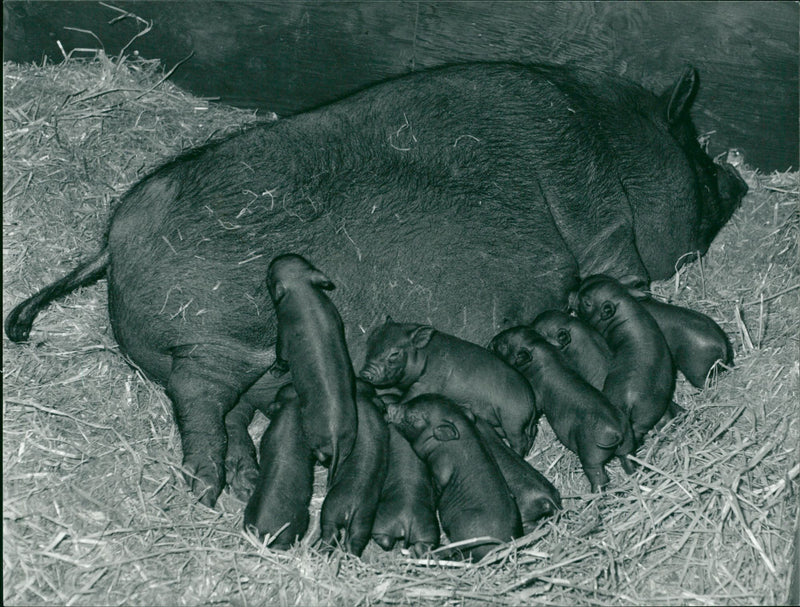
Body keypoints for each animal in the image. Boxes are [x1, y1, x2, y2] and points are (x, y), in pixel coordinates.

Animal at [359, 318, 538, 456]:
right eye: (369, 343)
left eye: (394, 354)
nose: (364, 373)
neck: (424, 357)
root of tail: (532, 404)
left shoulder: (427, 383)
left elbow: (408, 397)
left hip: (512, 419)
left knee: (520, 441)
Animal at [490, 326, 636, 489]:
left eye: (503, 345)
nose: (490, 343)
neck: (541, 349)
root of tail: (616, 432)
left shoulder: (537, 393)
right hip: (628, 443)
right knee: (629, 460)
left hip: (592, 455)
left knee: (599, 477)